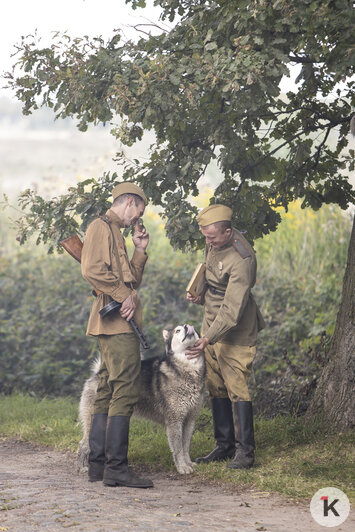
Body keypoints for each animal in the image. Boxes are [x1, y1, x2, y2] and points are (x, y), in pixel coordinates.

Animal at [78, 324, 206, 474]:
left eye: (191, 327)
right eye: (178, 331)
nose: (187, 326)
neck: (187, 368)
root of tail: (98, 374)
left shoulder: (190, 419)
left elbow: (185, 446)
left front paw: (188, 463)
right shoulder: (175, 421)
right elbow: (178, 448)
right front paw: (182, 467)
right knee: (83, 444)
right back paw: (83, 467)